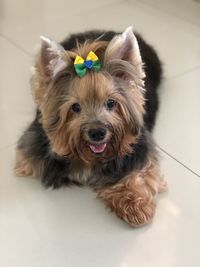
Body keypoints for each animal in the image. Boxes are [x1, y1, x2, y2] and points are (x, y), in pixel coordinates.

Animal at [14, 27, 166, 228]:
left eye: (111, 103)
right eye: (75, 107)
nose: (97, 133)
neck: (89, 158)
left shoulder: (138, 151)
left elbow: (139, 173)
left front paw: (134, 203)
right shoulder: (31, 152)